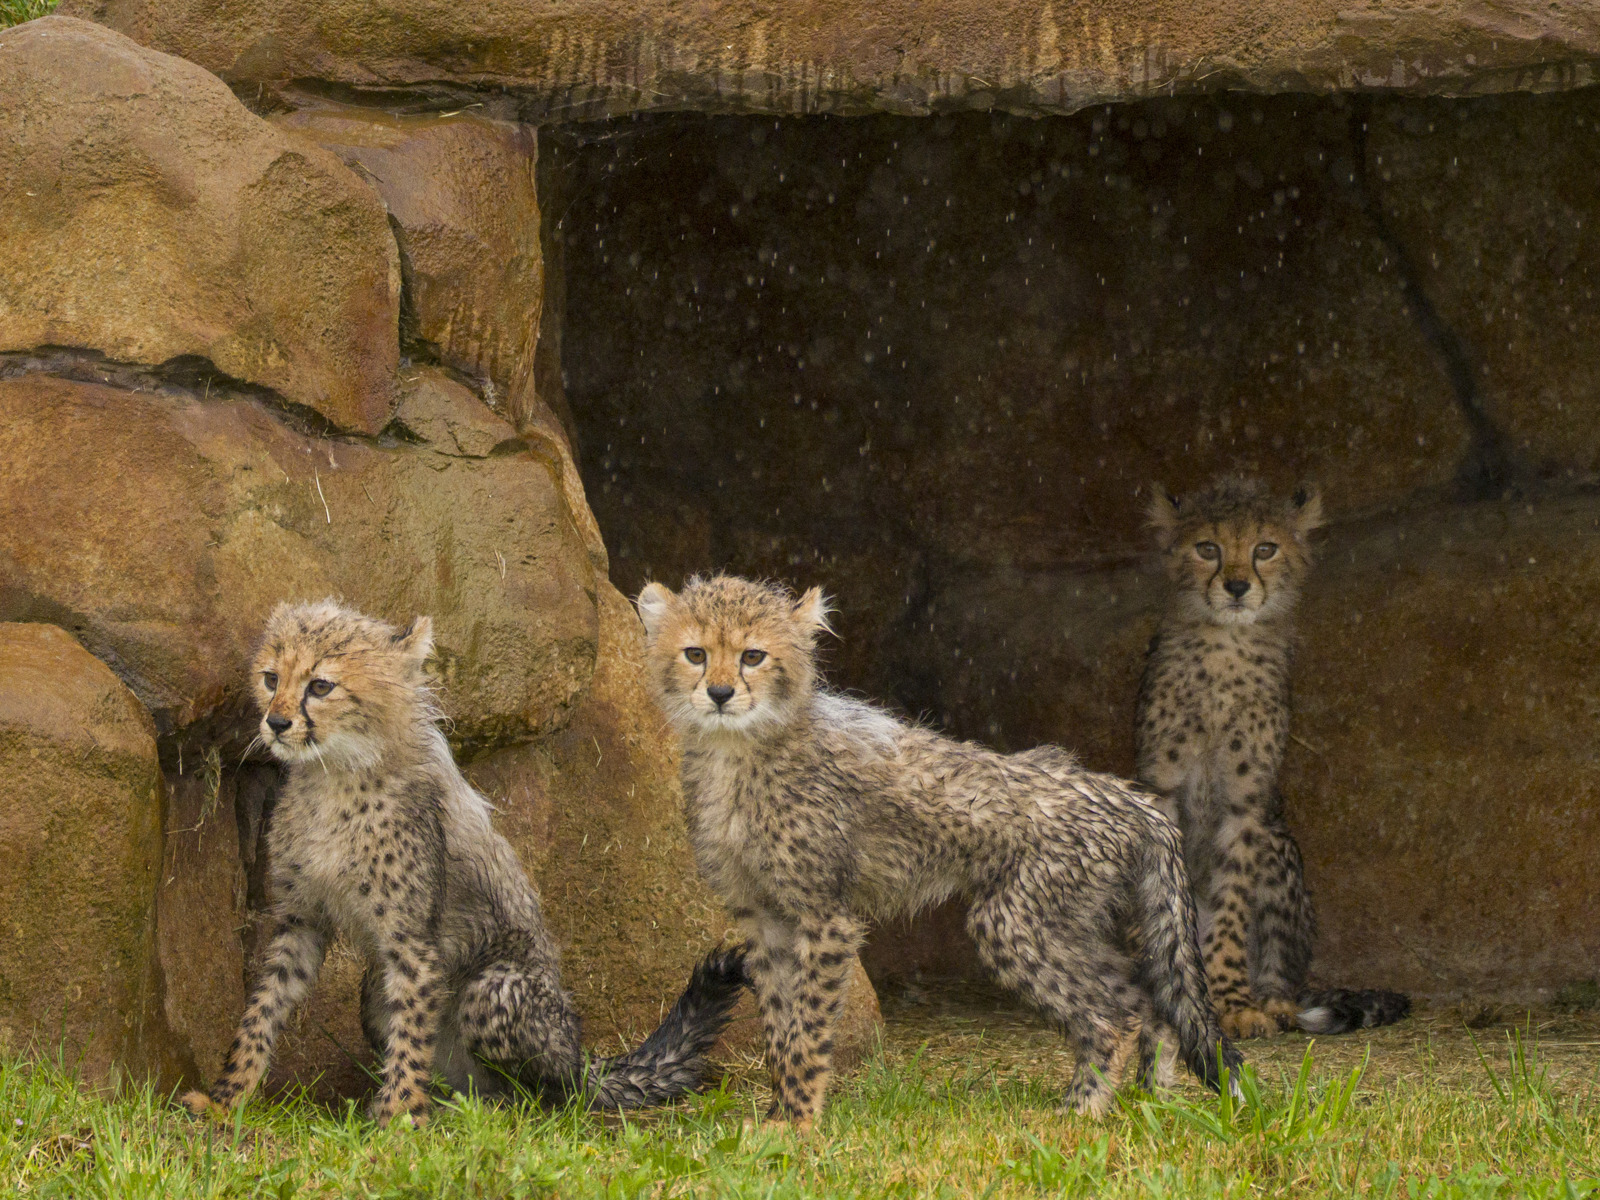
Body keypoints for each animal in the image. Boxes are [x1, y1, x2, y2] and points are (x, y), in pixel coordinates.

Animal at [180, 599, 746, 1127]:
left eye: (320, 686)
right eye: (271, 678)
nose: (276, 722)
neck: (335, 775)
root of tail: (580, 1058)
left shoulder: (412, 941)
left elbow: (410, 1037)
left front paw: (399, 1119)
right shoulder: (301, 921)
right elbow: (262, 1010)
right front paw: (225, 1099)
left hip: (493, 991)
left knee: (549, 1096)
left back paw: (486, 1109)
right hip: (374, 992)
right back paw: (452, 1104)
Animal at [636, 574, 1241, 1128]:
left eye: (753, 656)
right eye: (695, 654)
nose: (719, 694)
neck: (738, 750)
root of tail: (1126, 793)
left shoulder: (824, 916)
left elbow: (807, 1028)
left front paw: (800, 1124)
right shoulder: (765, 919)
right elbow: (780, 1025)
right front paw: (777, 1119)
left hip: (1014, 919)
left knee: (1115, 1011)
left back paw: (1082, 1111)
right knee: (1149, 995)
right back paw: (1149, 1099)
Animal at [1137, 476, 1408, 1039]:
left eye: (1265, 549)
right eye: (1208, 548)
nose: (1238, 587)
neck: (1225, 646)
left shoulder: (1247, 804)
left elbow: (1231, 908)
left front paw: (1234, 1004)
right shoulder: (1161, 789)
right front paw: (1166, 998)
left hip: (1280, 847)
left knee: (1284, 971)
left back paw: (1274, 1003)